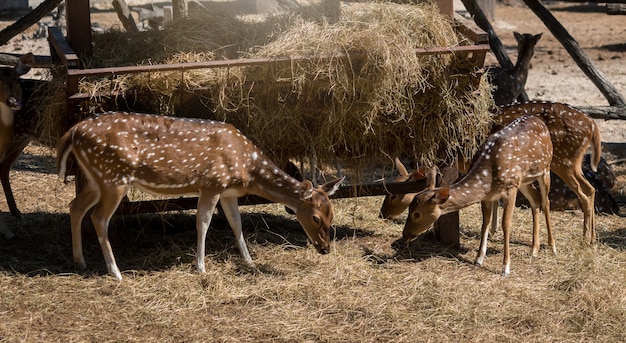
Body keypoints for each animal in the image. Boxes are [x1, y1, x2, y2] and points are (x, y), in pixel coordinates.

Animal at [54, 111, 342, 280]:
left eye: (332, 214)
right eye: (315, 217)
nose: (325, 248)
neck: (246, 168)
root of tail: (73, 132)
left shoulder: (228, 191)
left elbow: (237, 224)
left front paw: (249, 261)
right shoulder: (212, 183)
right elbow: (203, 222)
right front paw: (201, 267)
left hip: (95, 178)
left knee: (75, 206)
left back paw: (80, 261)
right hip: (114, 177)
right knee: (99, 217)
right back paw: (115, 272)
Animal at [400, 115, 552, 276]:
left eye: (417, 214)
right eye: (409, 209)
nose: (405, 234)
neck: (489, 175)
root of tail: (538, 120)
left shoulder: (511, 187)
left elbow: (505, 224)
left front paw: (505, 268)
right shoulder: (488, 195)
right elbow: (485, 222)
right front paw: (478, 259)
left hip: (545, 168)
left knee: (546, 201)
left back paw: (551, 246)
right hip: (524, 180)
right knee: (535, 200)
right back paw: (534, 249)